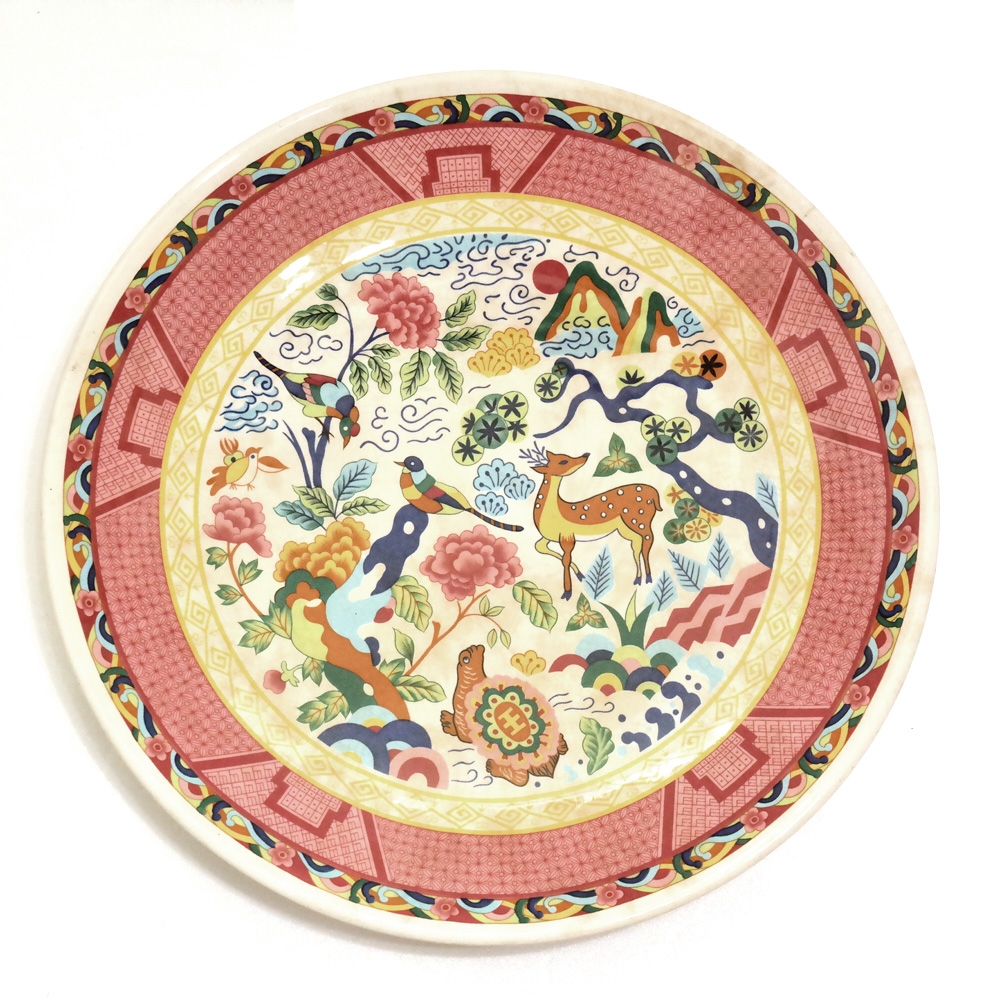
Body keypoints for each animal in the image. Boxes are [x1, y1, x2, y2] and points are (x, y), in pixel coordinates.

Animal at [521, 443, 661, 600]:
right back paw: (638, 579)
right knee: (637, 544)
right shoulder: (550, 537)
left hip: (639, 519)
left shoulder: (567, 535)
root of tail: (655, 494)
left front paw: (567, 592)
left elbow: (565, 559)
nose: (585, 455)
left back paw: (648, 577)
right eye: (563, 461)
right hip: (625, 528)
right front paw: (579, 575)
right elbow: (540, 547)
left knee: (648, 539)